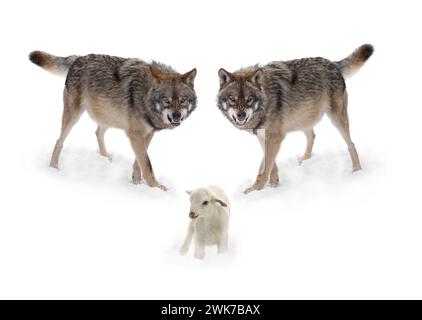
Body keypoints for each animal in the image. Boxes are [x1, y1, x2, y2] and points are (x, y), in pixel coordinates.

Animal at [29, 50, 198, 190]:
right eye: (166, 101)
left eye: (183, 100)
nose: (176, 116)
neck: (145, 94)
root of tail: (78, 58)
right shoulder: (135, 134)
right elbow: (147, 163)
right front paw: (156, 187)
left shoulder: (147, 134)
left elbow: (139, 161)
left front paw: (136, 181)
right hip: (73, 116)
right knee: (59, 141)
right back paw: (54, 168)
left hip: (107, 116)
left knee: (97, 132)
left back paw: (106, 158)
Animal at [216, 44, 374, 194]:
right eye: (232, 99)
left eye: (249, 99)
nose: (241, 115)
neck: (266, 100)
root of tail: (333, 64)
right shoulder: (263, 137)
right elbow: (269, 164)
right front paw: (273, 184)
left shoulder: (275, 137)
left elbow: (265, 167)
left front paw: (255, 190)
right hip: (302, 119)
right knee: (312, 136)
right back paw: (304, 161)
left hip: (336, 119)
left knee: (351, 144)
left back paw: (356, 171)